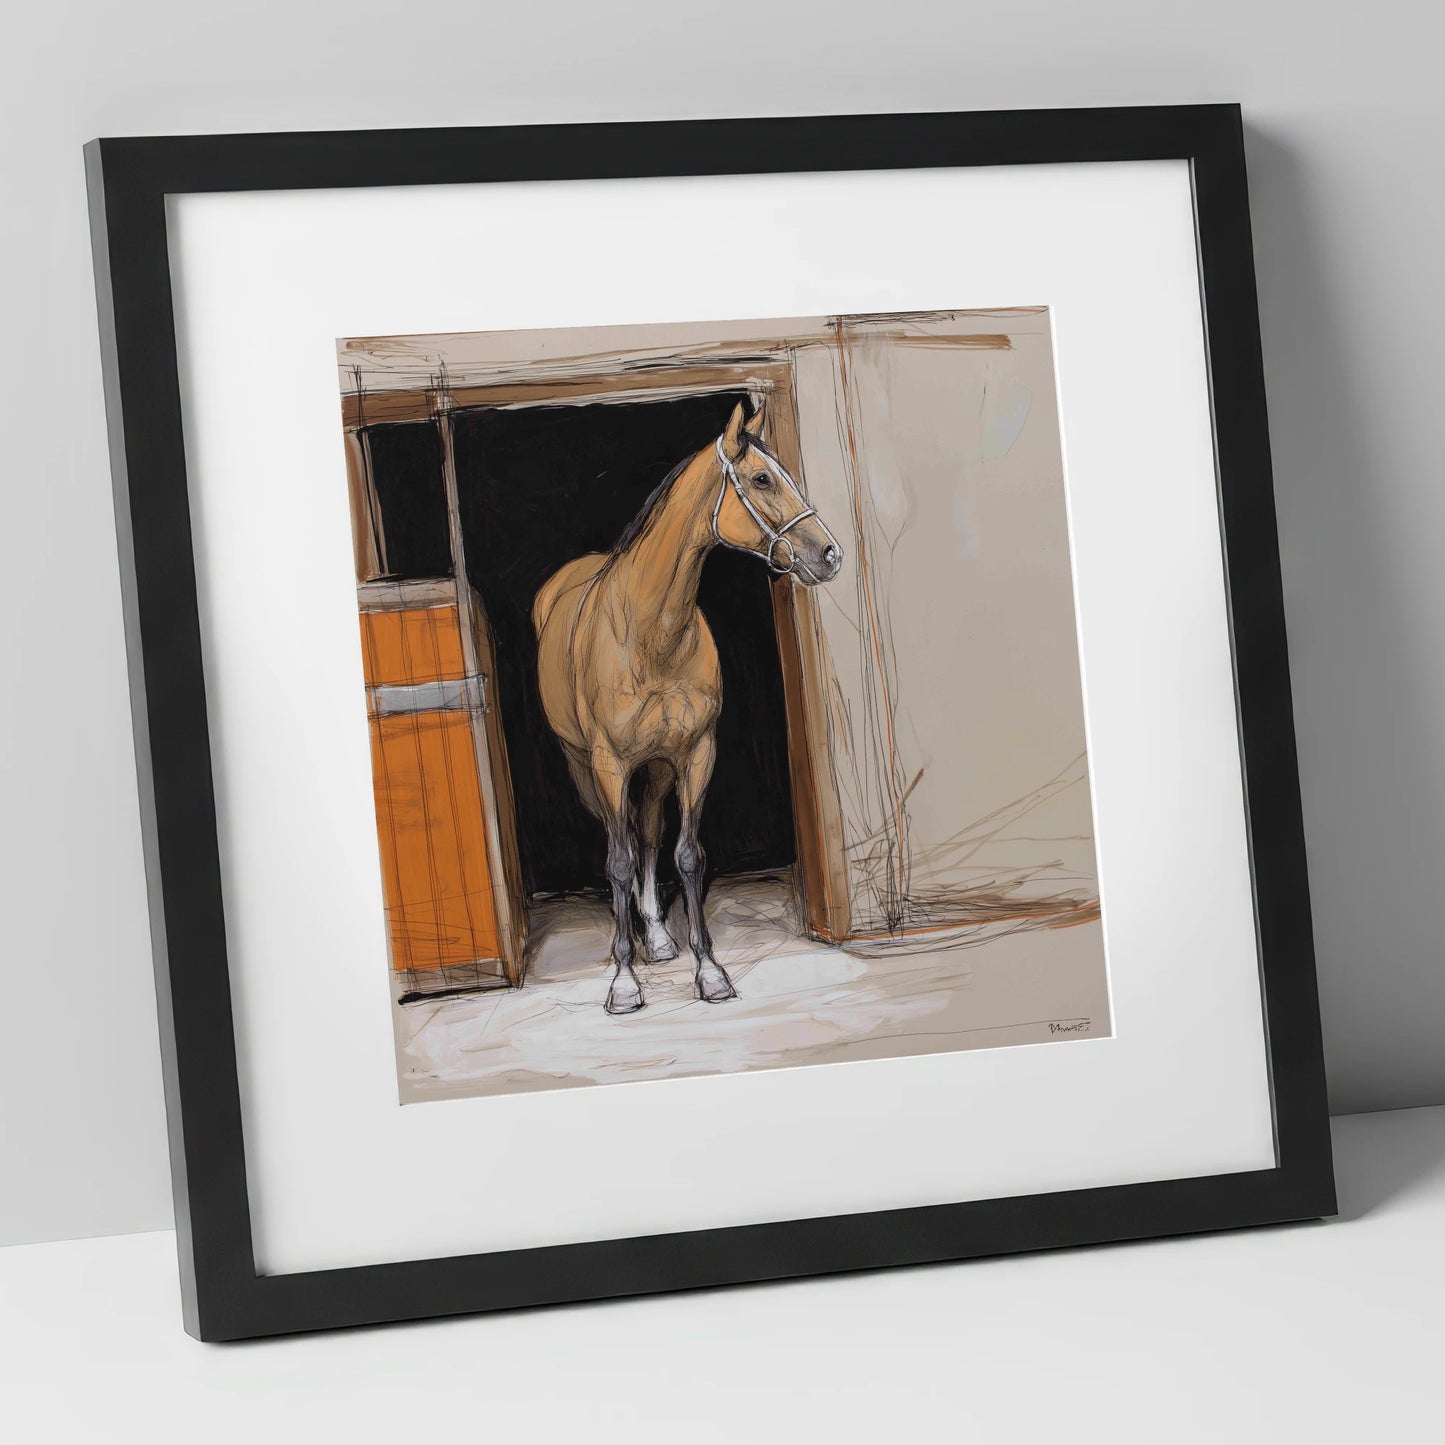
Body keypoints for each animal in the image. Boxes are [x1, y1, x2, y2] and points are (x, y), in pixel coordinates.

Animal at [532, 399, 843, 1014]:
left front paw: (709, 970)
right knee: (621, 841)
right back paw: (629, 943)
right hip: (585, 767)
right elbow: (619, 861)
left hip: (655, 768)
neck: (652, 633)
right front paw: (623, 982)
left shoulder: (696, 753)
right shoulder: (609, 763)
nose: (829, 554)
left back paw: (655, 936)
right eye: (762, 479)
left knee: (648, 833)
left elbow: (687, 855)